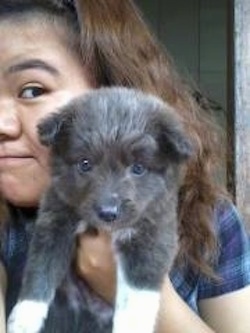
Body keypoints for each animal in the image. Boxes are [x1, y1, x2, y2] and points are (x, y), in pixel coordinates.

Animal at [7, 87, 191, 330]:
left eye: (138, 168)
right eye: (85, 164)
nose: (108, 213)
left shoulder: (152, 236)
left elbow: (136, 297)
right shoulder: (54, 221)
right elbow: (41, 269)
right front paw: (25, 317)